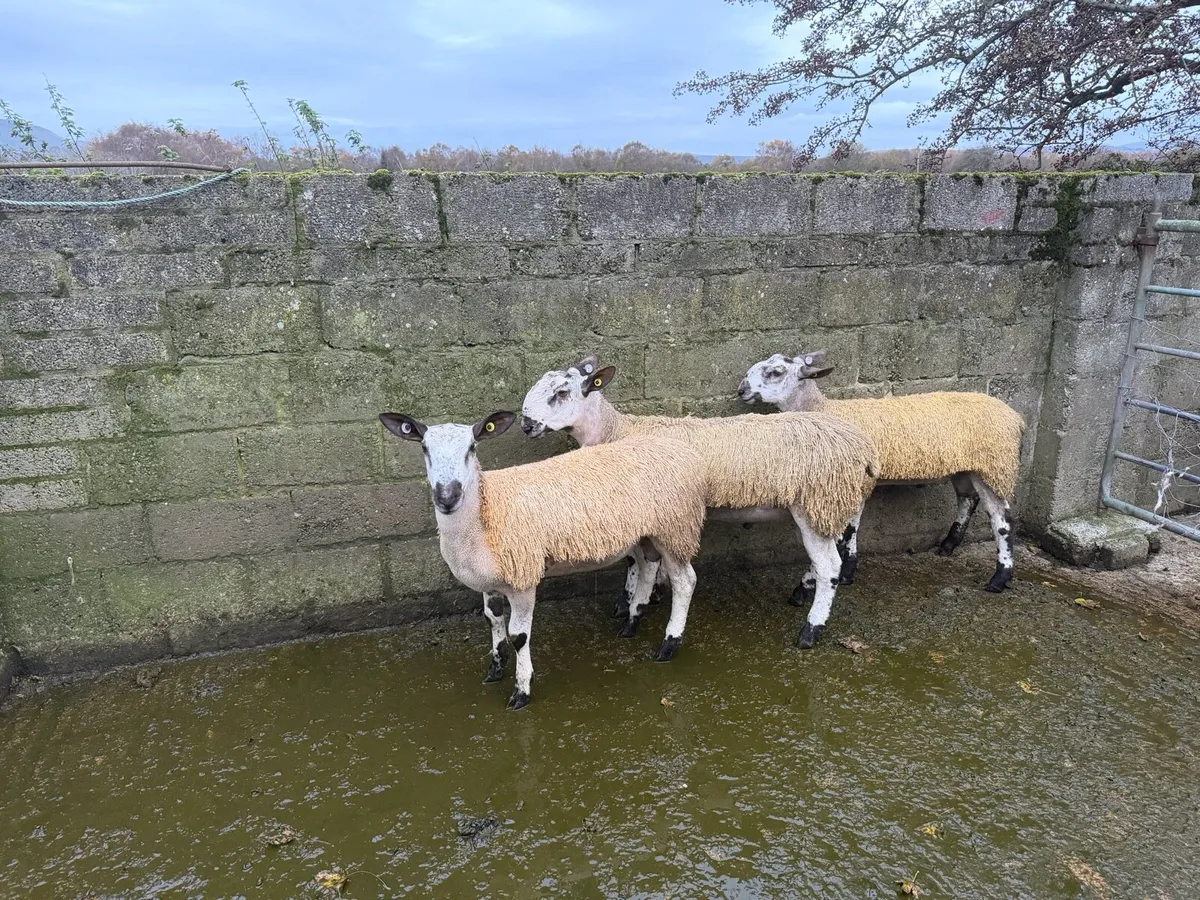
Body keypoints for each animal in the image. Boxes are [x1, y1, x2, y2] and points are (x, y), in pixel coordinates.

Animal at [379, 409, 708, 709]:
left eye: (472, 447)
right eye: (424, 448)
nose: (447, 497)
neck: (487, 513)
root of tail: (678, 448)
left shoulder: (523, 578)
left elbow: (519, 636)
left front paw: (521, 689)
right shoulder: (489, 581)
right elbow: (492, 620)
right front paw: (495, 669)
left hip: (675, 528)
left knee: (684, 581)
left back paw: (668, 644)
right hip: (645, 532)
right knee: (648, 566)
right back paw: (631, 621)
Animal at [520, 357, 879, 649]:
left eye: (561, 393)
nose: (525, 424)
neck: (617, 431)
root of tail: (861, 445)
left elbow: (635, 562)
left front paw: (632, 601)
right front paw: (650, 593)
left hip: (817, 500)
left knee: (830, 567)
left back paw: (810, 630)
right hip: (824, 505)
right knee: (827, 557)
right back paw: (802, 591)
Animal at [738, 350, 1026, 596]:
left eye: (775, 372)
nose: (741, 389)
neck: (823, 409)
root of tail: (1016, 418)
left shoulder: (858, 480)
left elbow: (851, 528)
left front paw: (848, 571)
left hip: (995, 464)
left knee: (1002, 520)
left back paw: (999, 578)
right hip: (968, 467)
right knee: (968, 499)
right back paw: (948, 545)